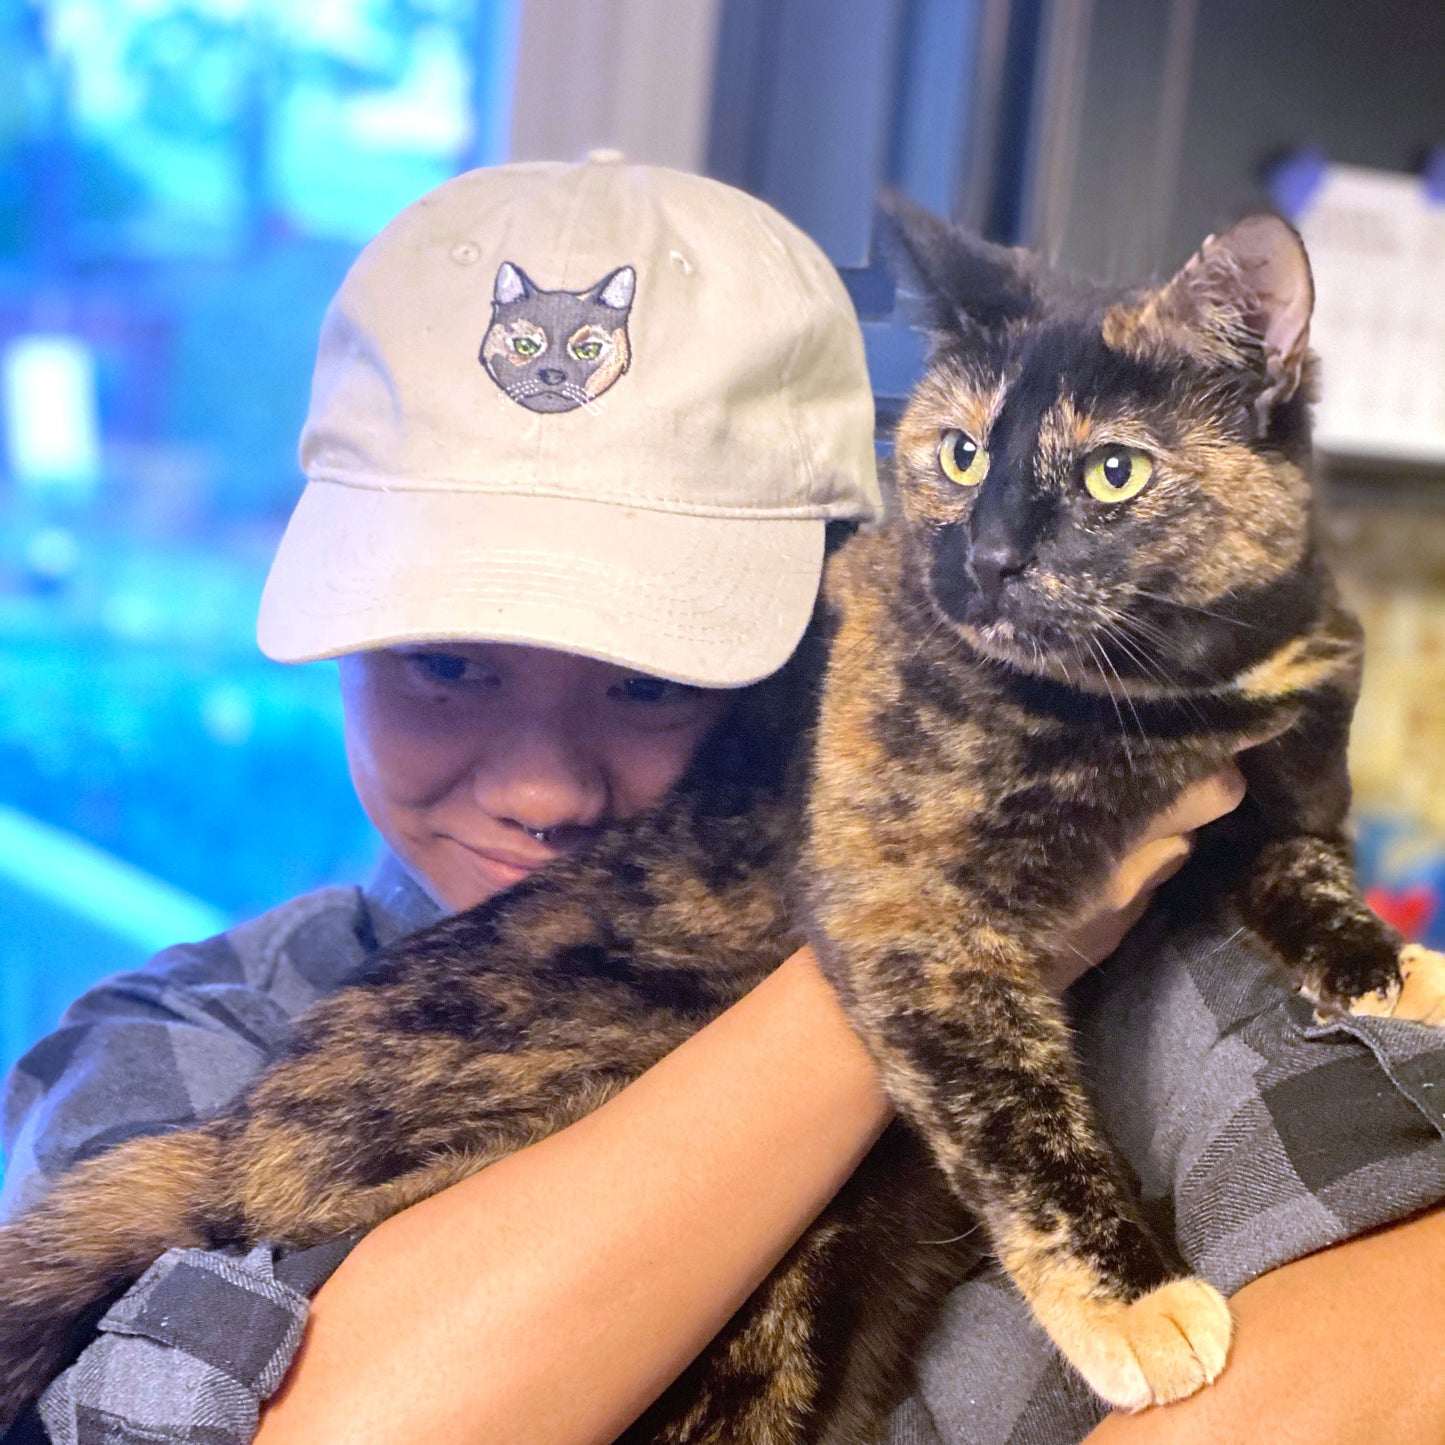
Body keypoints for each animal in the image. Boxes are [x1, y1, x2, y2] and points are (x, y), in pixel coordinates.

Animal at [2, 200, 1445, 1433]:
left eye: (1108, 474)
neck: (1177, 687)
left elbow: (1306, 871)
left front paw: (1391, 970)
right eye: (960, 452)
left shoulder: (1279, 785)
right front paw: (1131, 1302)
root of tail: (233, 1138)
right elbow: (1019, 1116)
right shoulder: (915, 910)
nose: (981, 560)